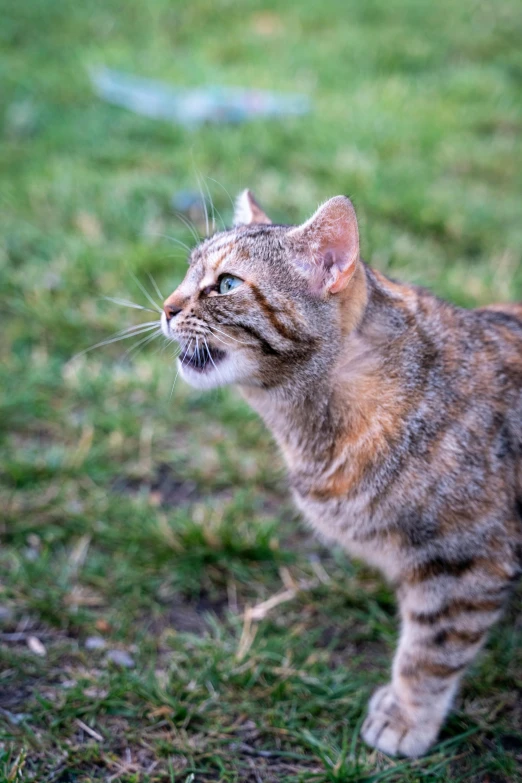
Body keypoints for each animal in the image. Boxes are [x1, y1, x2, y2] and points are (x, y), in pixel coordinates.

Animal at [159, 191, 520, 760]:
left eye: (227, 285)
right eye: (187, 273)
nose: (166, 307)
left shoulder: (467, 562)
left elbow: (429, 652)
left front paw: (407, 717)